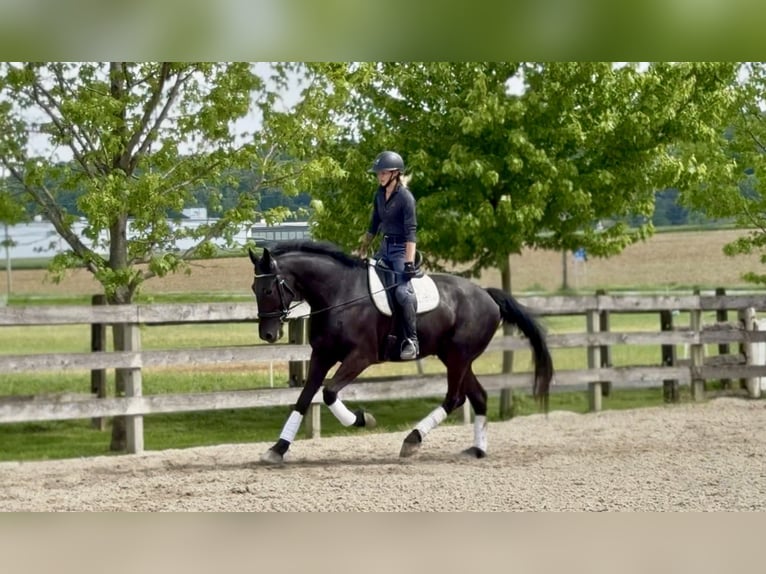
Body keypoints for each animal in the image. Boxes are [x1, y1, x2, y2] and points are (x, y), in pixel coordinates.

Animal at [249, 239, 553, 464]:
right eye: (254, 288)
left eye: (268, 290)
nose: (268, 335)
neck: (339, 293)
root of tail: (487, 295)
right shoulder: (321, 356)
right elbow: (304, 399)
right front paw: (277, 449)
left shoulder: (360, 357)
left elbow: (329, 393)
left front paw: (363, 419)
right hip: (455, 357)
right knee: (478, 396)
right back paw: (477, 450)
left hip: (458, 357)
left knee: (454, 398)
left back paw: (412, 440)